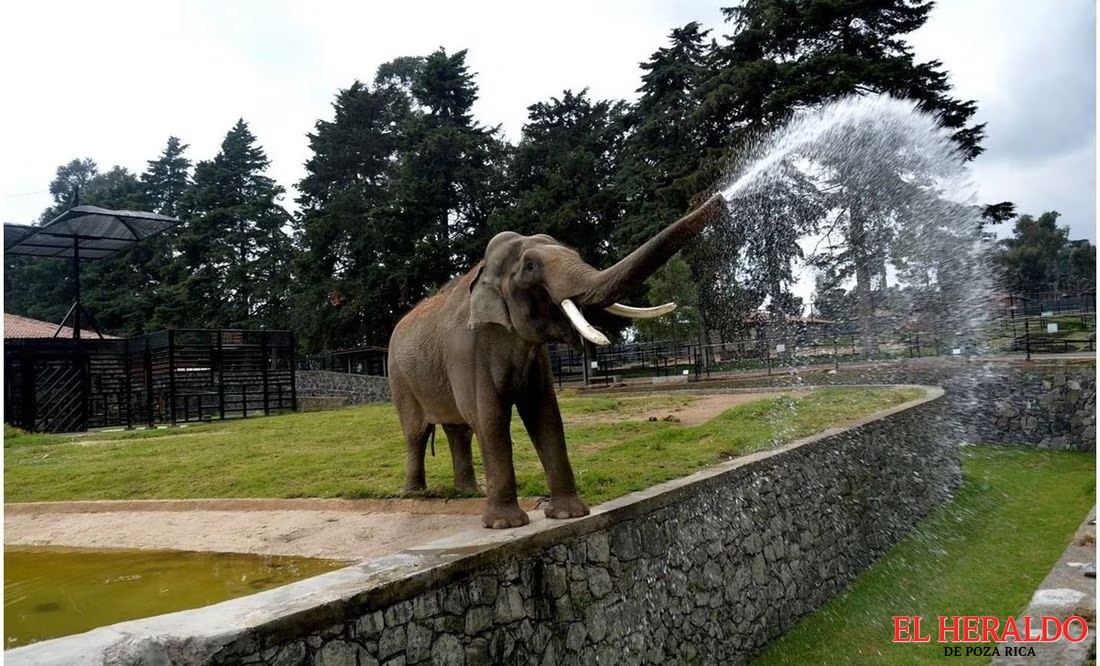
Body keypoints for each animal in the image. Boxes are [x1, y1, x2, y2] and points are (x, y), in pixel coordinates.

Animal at [387, 194, 727, 528]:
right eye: (529, 266)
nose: (720, 197)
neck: (483, 269)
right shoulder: (466, 350)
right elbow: (489, 417)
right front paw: (505, 524)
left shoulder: (535, 358)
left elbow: (545, 414)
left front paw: (568, 514)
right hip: (399, 377)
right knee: (417, 432)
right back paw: (415, 493)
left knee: (459, 430)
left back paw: (470, 492)